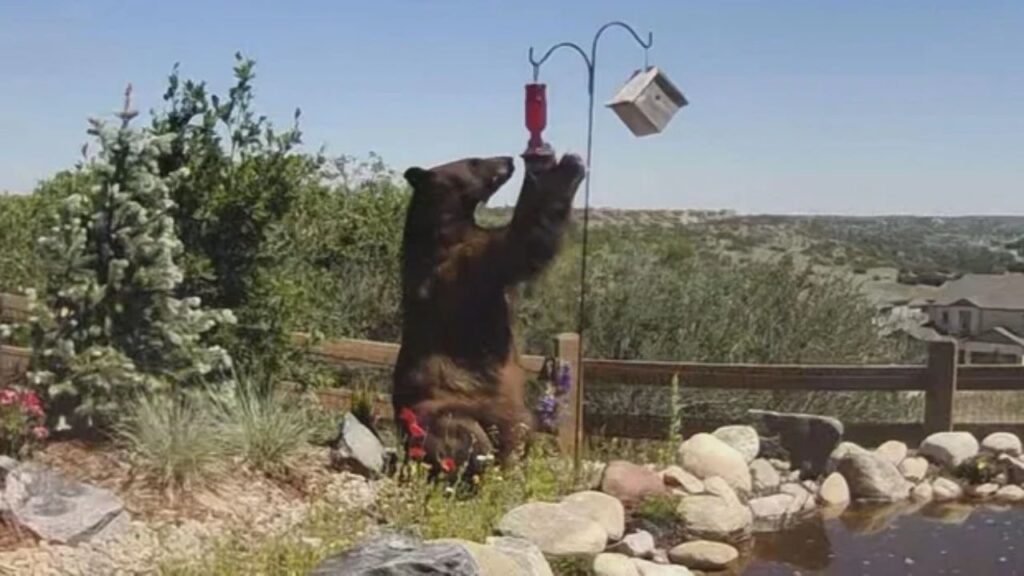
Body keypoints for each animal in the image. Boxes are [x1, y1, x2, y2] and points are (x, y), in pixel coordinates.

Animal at [392, 152, 585, 477]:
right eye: (474, 160)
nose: (507, 160)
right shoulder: (462, 266)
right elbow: (520, 246)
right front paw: (560, 168)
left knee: (524, 429)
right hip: (442, 409)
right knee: (465, 436)